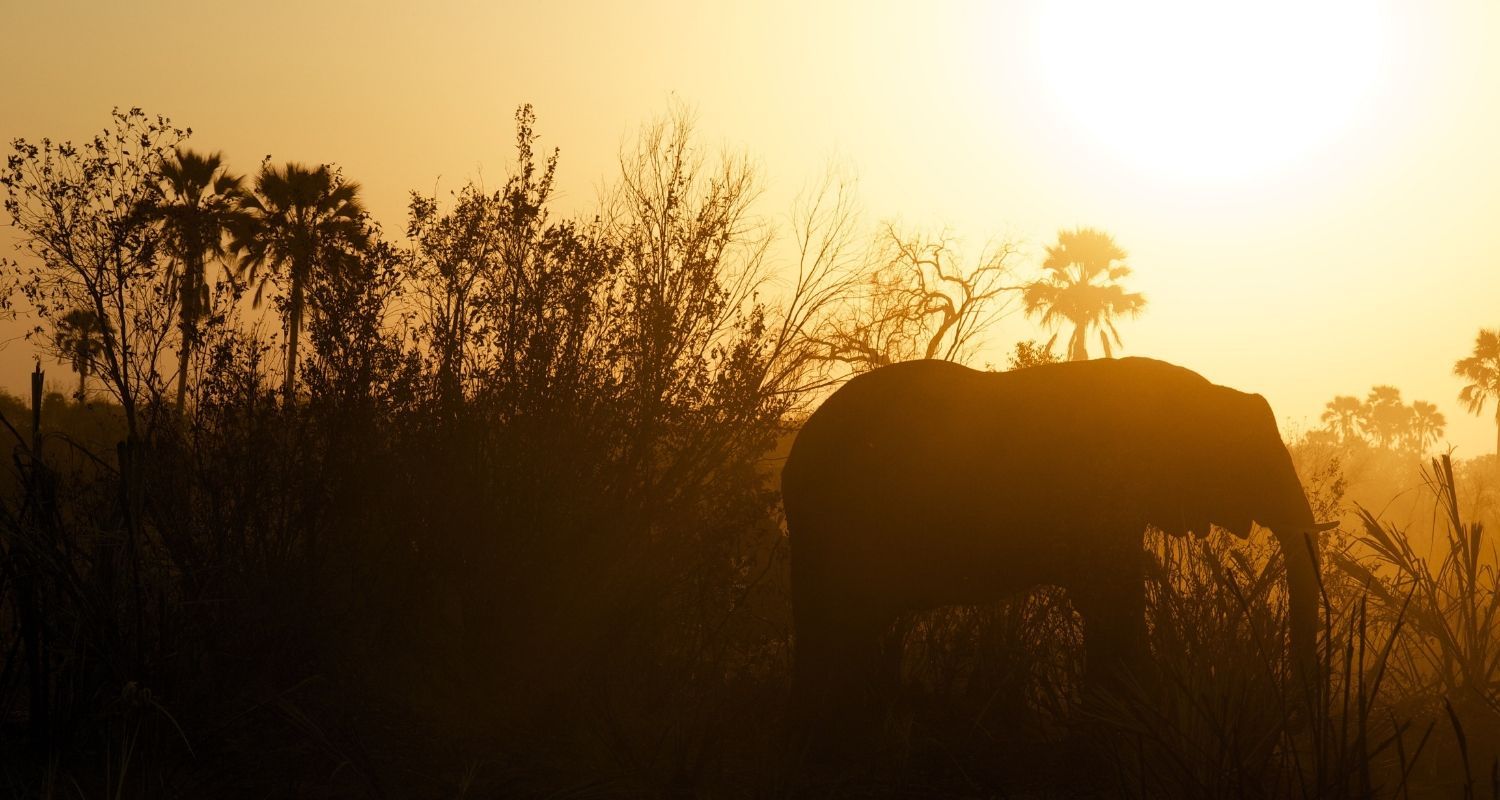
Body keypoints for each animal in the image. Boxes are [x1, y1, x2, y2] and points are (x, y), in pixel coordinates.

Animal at [781, 357, 1334, 723]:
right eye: (1252, 459)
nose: (1295, 704)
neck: (1193, 388)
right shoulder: (1102, 489)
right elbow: (1112, 599)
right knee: (837, 625)